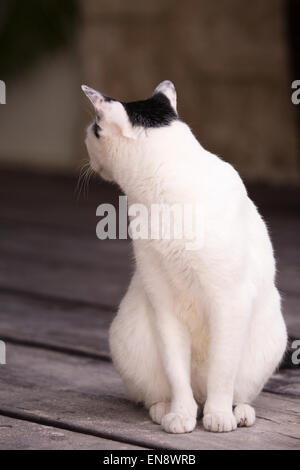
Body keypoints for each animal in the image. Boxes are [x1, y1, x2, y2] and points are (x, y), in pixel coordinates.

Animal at [81, 80, 286, 434]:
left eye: (93, 130)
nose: (84, 137)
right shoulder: (163, 303)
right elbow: (176, 372)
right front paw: (181, 415)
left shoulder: (229, 301)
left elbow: (222, 373)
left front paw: (219, 416)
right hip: (128, 333)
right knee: (160, 391)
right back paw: (164, 409)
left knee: (235, 390)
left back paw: (237, 412)